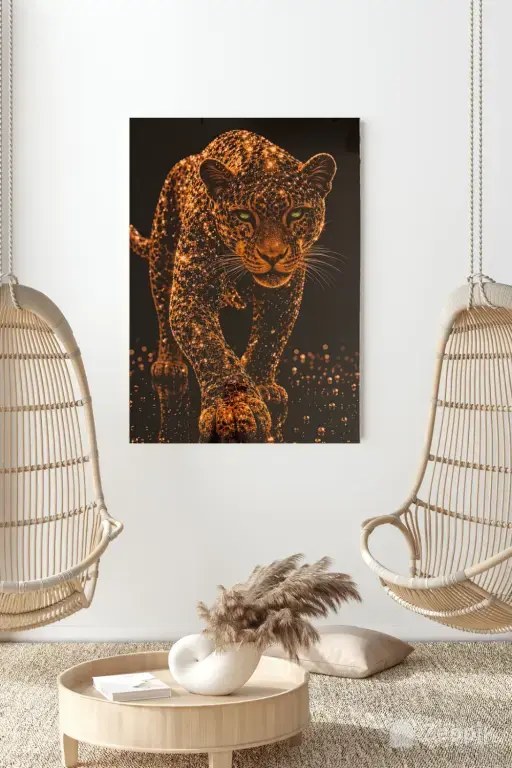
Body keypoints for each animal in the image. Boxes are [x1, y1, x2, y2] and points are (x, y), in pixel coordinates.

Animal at [130, 129, 336, 443]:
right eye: (243, 216)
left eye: (297, 214)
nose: (273, 255)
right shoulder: (191, 293)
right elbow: (213, 351)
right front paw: (234, 408)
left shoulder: (285, 292)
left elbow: (269, 337)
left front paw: (261, 386)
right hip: (162, 255)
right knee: (164, 314)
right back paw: (169, 364)